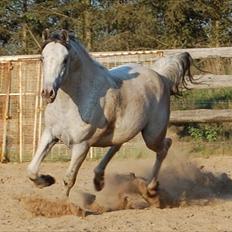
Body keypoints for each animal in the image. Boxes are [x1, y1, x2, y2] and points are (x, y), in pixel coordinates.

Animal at [26, 29, 194, 198]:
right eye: (42, 58)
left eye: (65, 59)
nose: (48, 93)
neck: (74, 102)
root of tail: (161, 77)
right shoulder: (50, 134)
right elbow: (31, 170)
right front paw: (47, 180)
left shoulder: (82, 145)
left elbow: (69, 180)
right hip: (126, 129)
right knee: (117, 145)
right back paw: (98, 179)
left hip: (152, 135)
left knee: (164, 147)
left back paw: (151, 188)